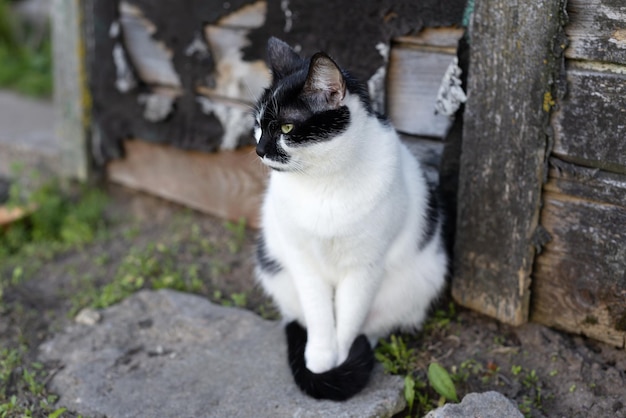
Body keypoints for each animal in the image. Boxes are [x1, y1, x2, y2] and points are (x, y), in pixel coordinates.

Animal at [251, 39, 446, 402]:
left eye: (286, 128)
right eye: (257, 124)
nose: (259, 150)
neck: (323, 183)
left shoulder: (364, 267)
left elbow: (348, 318)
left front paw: (340, 360)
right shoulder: (303, 262)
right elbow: (318, 314)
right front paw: (319, 360)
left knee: (373, 325)